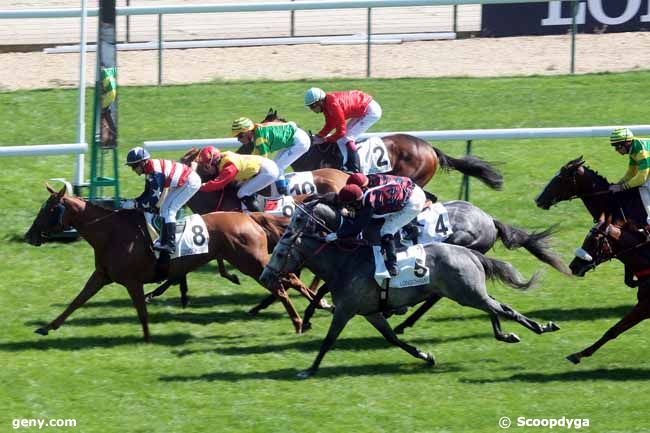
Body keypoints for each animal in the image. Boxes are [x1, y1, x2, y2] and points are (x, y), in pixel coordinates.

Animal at [25, 184, 318, 340]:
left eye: (49, 208)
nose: (29, 236)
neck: (111, 231)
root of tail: (250, 217)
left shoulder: (132, 281)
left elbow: (141, 310)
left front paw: (146, 338)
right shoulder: (101, 276)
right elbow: (77, 301)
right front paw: (47, 327)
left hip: (253, 262)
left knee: (281, 286)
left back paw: (299, 321)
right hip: (258, 262)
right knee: (290, 279)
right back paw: (314, 306)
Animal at [258, 201, 556, 376]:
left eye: (281, 252)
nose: (265, 276)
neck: (345, 259)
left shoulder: (347, 308)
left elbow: (329, 337)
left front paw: (309, 368)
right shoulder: (369, 311)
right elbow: (390, 338)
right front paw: (424, 355)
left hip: (466, 289)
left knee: (497, 307)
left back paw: (539, 327)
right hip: (469, 292)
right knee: (495, 305)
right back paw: (509, 333)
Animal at [564, 218, 648, 362]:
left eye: (594, 240)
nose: (573, 266)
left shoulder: (644, 307)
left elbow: (614, 330)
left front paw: (579, 354)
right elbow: (613, 331)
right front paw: (579, 354)